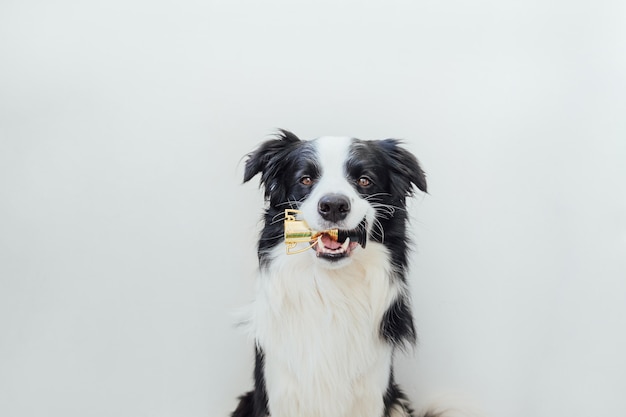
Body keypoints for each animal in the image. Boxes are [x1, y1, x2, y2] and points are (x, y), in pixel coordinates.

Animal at [234, 130, 428, 416]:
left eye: (364, 180)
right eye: (305, 179)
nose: (334, 205)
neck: (331, 288)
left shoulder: (372, 393)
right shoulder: (280, 391)